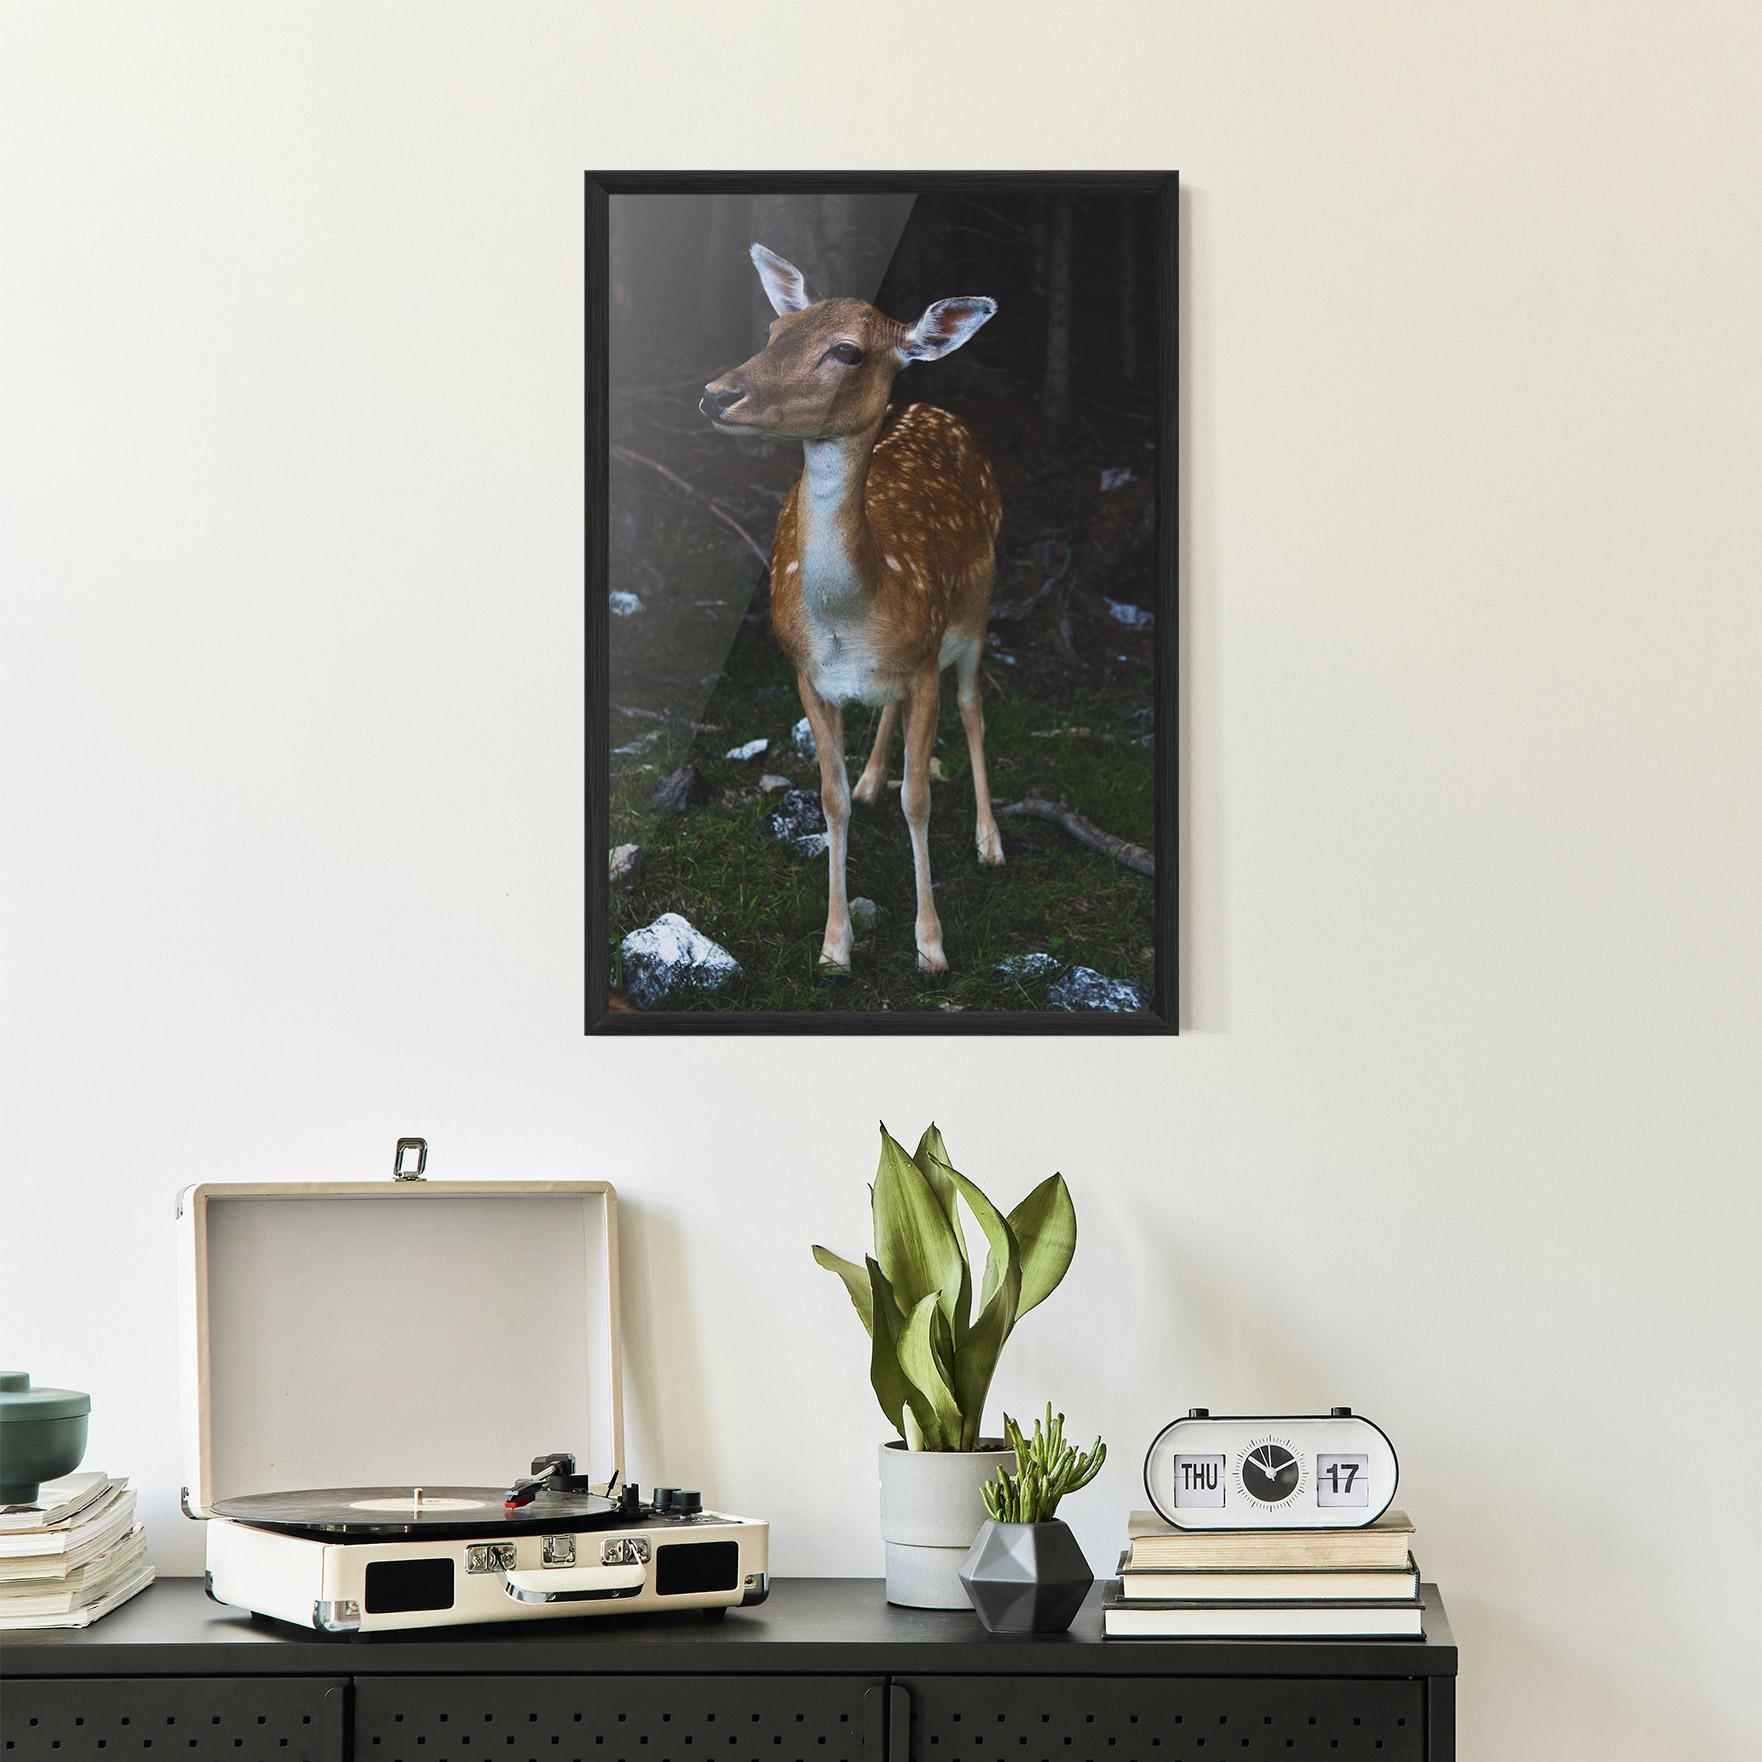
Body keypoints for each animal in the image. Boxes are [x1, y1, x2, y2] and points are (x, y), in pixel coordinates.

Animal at [700, 243, 1004, 977]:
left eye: (847, 351)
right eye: (776, 331)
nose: (717, 393)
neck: (853, 614)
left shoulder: (924, 661)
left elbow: (919, 798)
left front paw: (931, 946)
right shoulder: (806, 674)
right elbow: (830, 799)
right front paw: (835, 946)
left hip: (977, 610)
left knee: (973, 707)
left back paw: (990, 842)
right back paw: (871, 779)